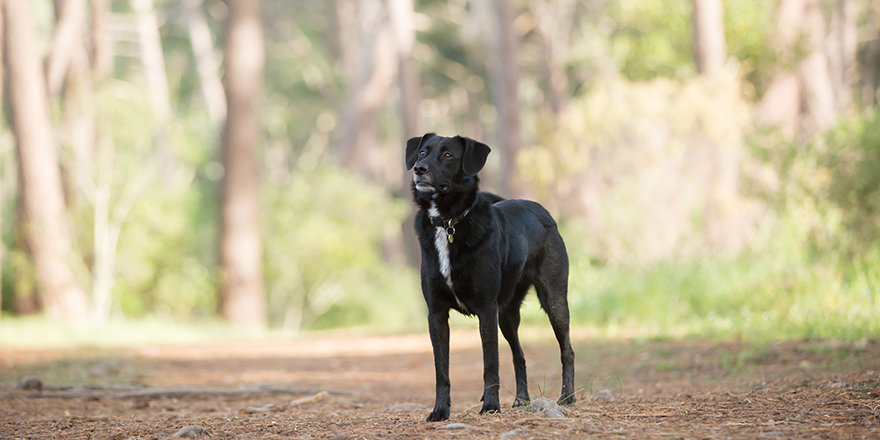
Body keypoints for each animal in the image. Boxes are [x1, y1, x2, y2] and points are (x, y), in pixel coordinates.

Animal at [408, 132, 576, 422]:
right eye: (421, 152)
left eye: (448, 155)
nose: (419, 169)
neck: (449, 223)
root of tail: (542, 210)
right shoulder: (437, 314)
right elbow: (441, 370)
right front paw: (440, 411)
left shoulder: (486, 310)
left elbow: (490, 364)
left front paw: (490, 406)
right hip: (507, 315)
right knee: (519, 356)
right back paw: (521, 400)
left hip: (554, 302)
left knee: (568, 350)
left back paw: (567, 397)